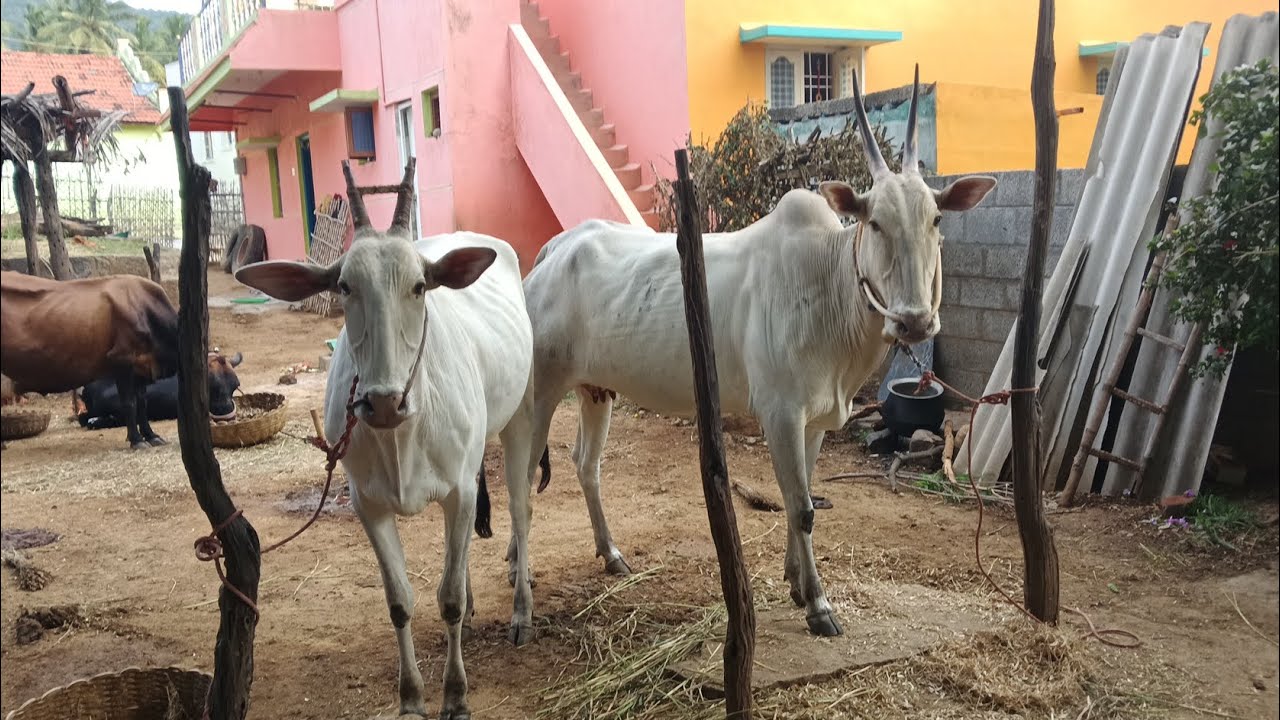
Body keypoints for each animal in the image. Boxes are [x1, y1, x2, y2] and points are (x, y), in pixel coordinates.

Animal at [1, 270, 181, 450]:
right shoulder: (122, 360)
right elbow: (130, 403)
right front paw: (137, 440)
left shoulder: (141, 367)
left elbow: (142, 404)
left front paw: (152, 436)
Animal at [234, 159, 536, 720]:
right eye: (344, 286)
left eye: (419, 286)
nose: (382, 403)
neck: (403, 432)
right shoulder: (367, 503)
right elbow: (400, 602)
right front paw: (412, 697)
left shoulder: (459, 491)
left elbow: (448, 600)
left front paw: (455, 695)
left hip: (521, 417)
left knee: (522, 515)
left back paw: (522, 612)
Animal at [518, 69, 996, 637]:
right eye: (875, 221)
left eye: (936, 221)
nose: (915, 320)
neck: (827, 283)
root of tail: (554, 250)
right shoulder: (781, 412)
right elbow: (802, 508)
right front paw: (819, 606)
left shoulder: (816, 419)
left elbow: (801, 500)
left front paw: (796, 583)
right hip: (540, 392)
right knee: (521, 482)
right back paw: (520, 588)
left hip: (596, 391)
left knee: (586, 464)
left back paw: (611, 554)